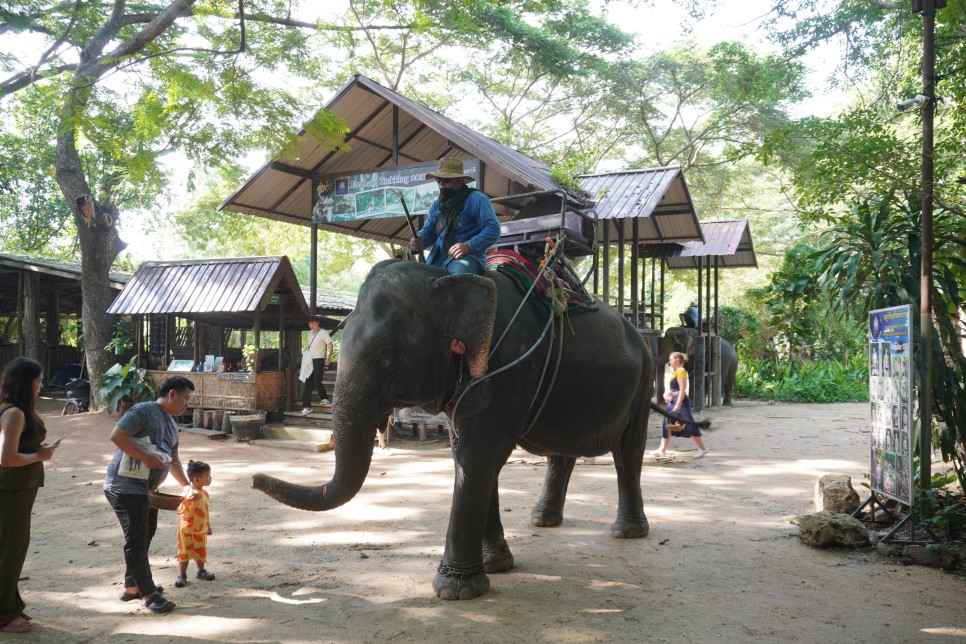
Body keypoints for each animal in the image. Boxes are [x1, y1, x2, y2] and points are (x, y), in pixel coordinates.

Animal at [253, 260, 672, 600]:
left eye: (387, 357)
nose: (255, 479)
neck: (446, 277)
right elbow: (468, 457)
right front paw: (496, 565)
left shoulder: (504, 363)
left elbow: (477, 455)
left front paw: (457, 590)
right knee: (562, 453)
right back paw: (542, 520)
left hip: (644, 379)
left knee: (628, 452)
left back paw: (627, 532)